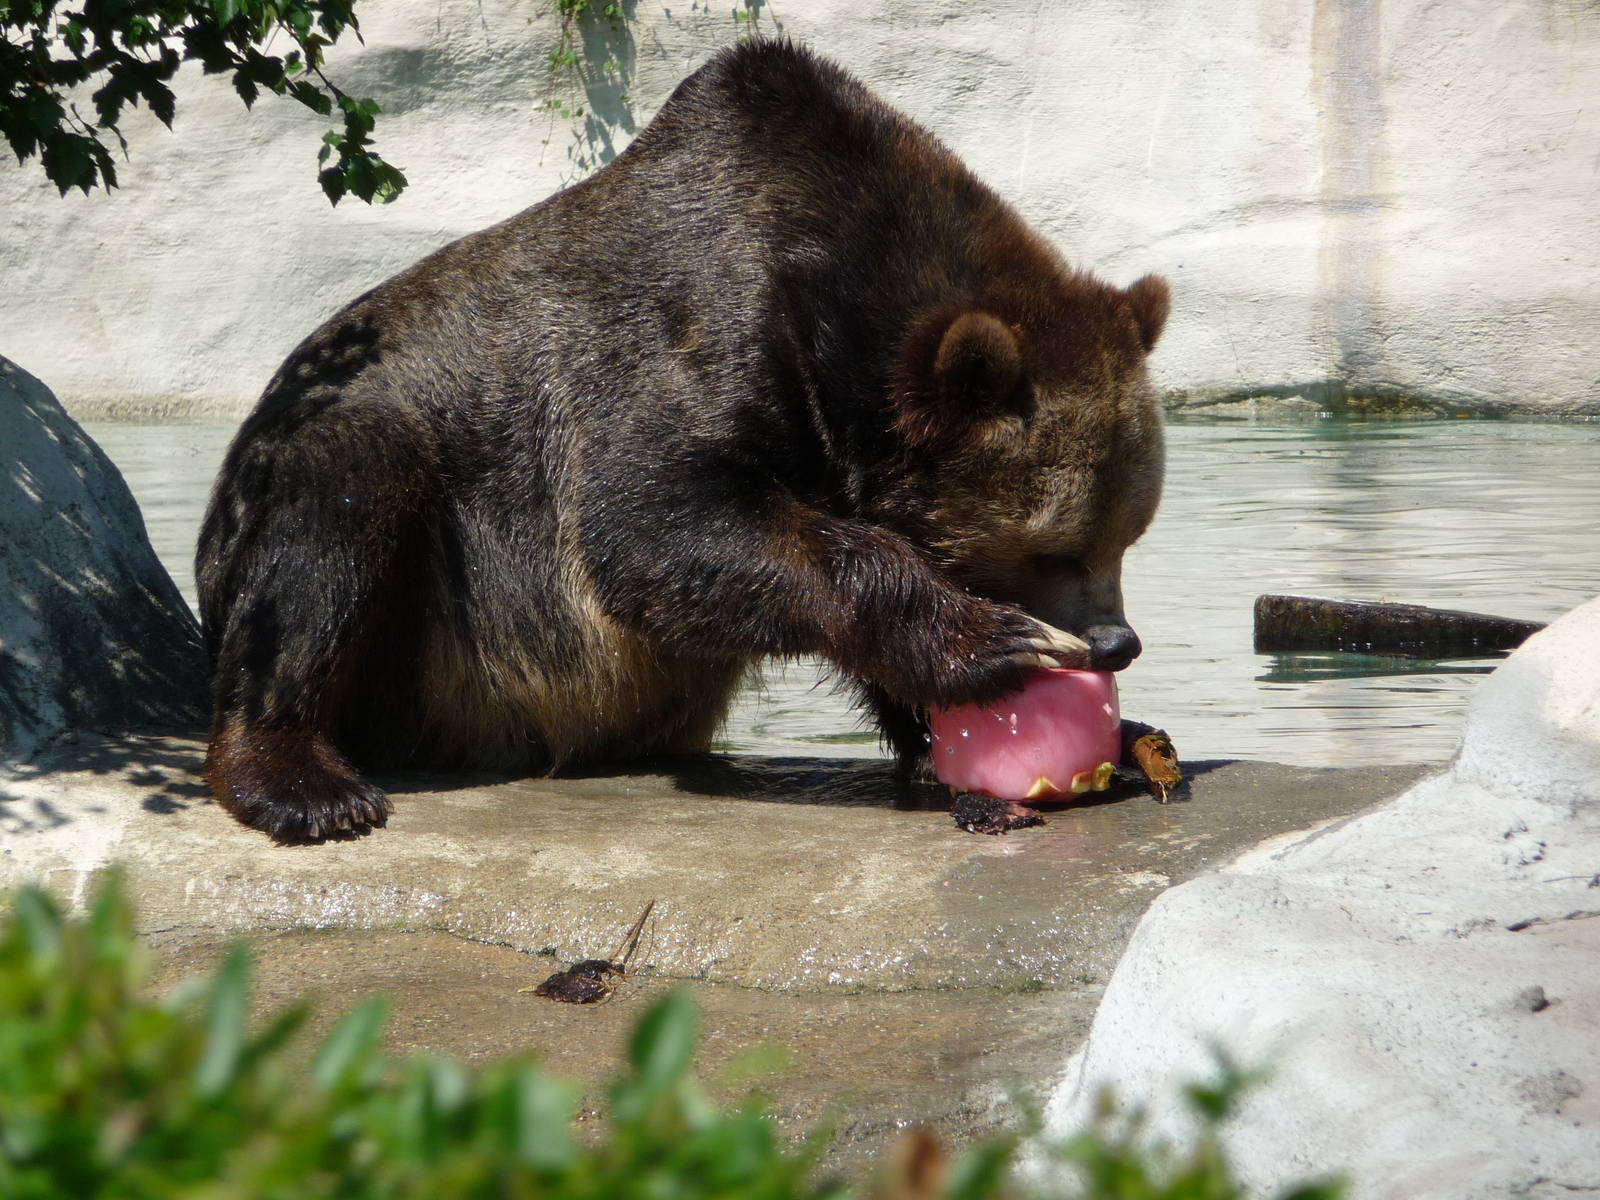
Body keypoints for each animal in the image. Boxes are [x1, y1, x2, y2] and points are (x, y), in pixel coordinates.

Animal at [196, 39, 1170, 843]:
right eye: (1056, 547)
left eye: (1128, 534)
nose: (1116, 642)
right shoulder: (693, 334)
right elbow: (660, 527)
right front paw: (992, 641)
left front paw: (1112, 733)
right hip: (412, 588)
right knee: (335, 513)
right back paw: (307, 784)